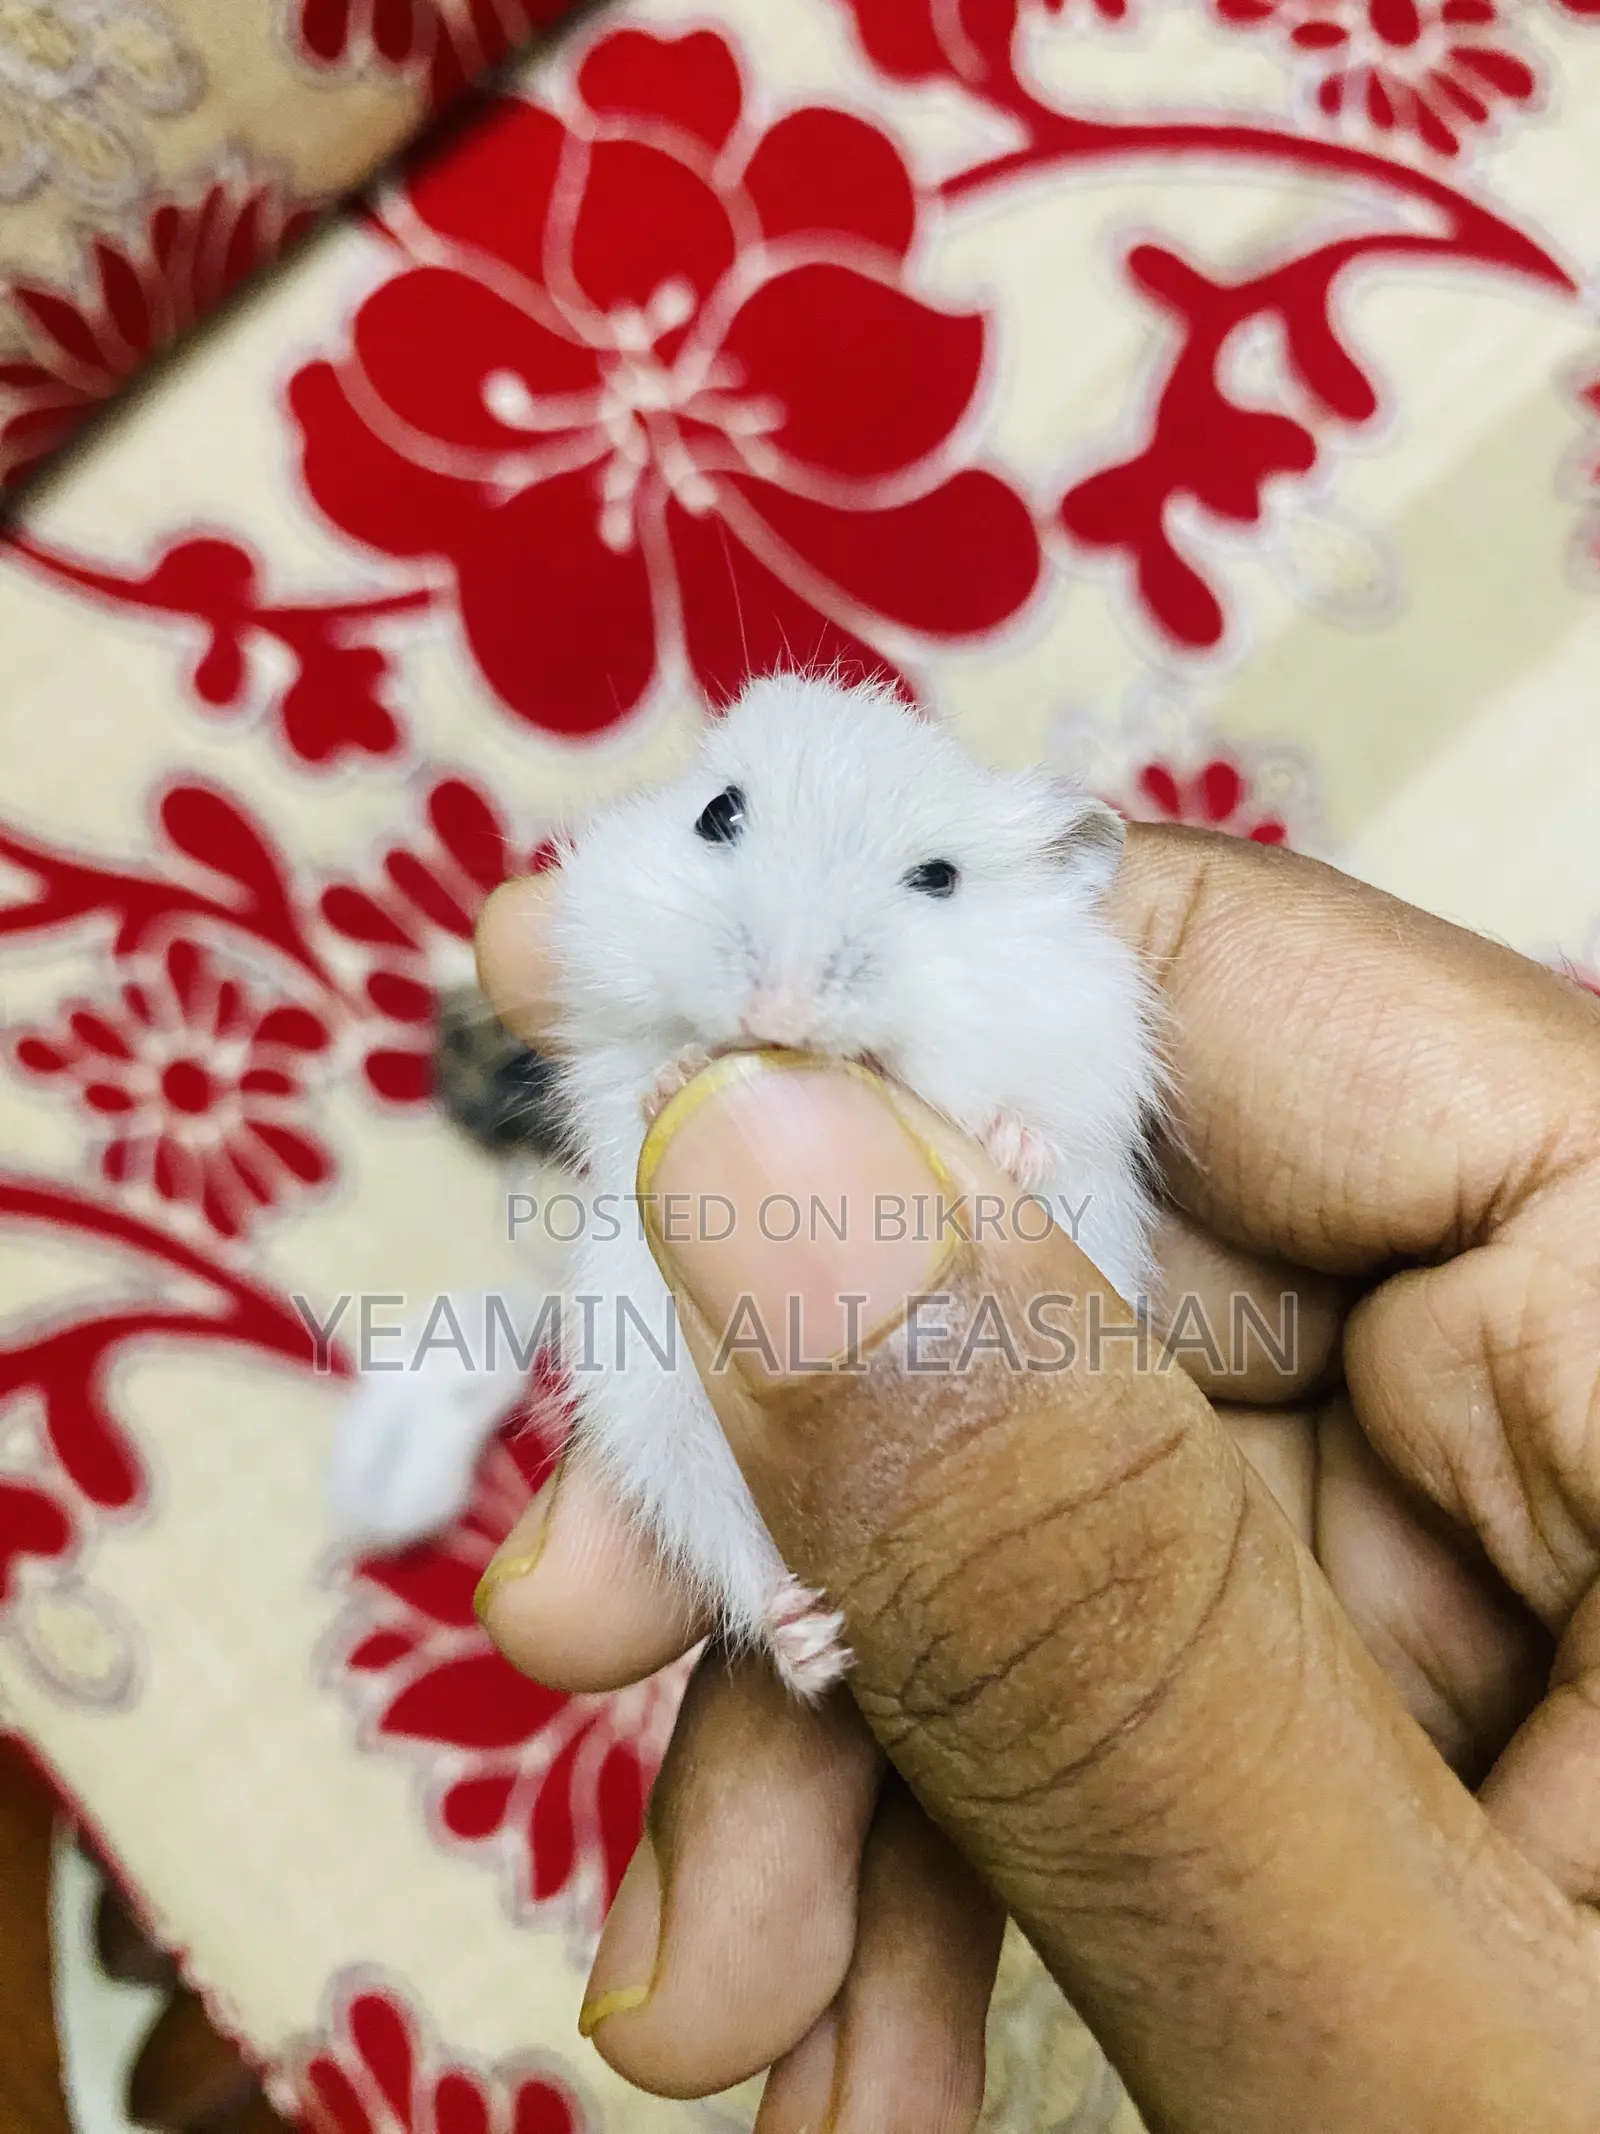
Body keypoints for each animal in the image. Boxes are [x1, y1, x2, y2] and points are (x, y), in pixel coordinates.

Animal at [330, 675, 1163, 1696]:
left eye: (939, 879)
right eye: (717, 815)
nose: (777, 1011)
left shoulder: (1087, 1060)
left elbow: (1039, 1133)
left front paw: (1001, 1140)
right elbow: (631, 1086)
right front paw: (676, 1077)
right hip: (664, 1434)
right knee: (730, 1553)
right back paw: (812, 1646)